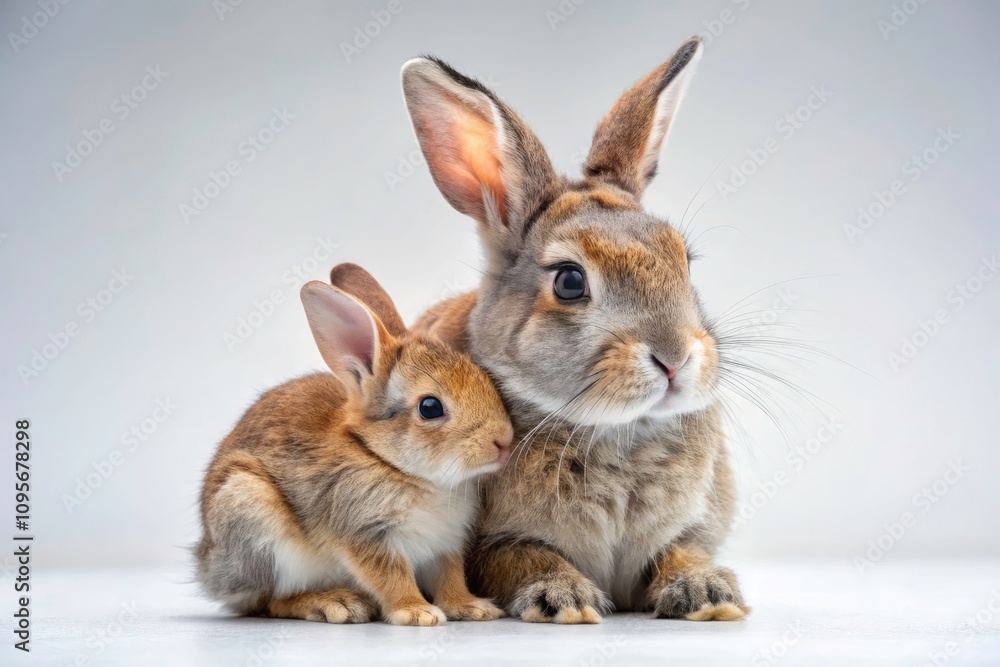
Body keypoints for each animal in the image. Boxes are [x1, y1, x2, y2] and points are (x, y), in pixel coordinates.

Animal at [195, 263, 512, 626]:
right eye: (430, 407)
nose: (504, 441)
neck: (391, 462)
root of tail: (208, 570)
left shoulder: (446, 543)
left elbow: (450, 577)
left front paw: (472, 607)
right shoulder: (365, 534)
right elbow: (392, 576)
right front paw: (417, 613)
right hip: (252, 516)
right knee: (270, 601)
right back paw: (336, 603)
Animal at [399, 36, 749, 623]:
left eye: (685, 261)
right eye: (568, 281)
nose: (675, 357)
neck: (617, 431)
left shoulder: (686, 529)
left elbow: (680, 550)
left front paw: (708, 594)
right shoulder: (490, 545)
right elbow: (524, 555)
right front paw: (562, 598)